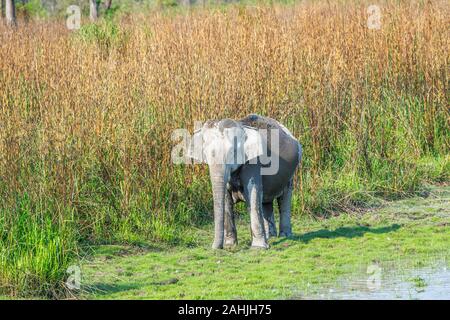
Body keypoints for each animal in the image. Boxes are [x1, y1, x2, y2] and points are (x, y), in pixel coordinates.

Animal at [186, 114, 302, 249]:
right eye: (205, 153)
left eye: (232, 152)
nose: (214, 248)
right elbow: (226, 198)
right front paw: (230, 245)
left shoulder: (254, 161)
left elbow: (253, 193)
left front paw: (258, 247)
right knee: (266, 202)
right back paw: (271, 237)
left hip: (291, 172)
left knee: (284, 198)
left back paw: (285, 236)